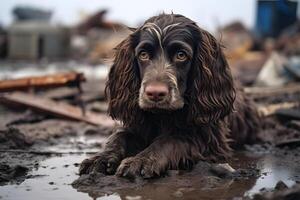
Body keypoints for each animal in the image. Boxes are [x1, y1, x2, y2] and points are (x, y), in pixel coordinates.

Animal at [79, 13, 260, 178]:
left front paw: (141, 160)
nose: (155, 93)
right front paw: (100, 158)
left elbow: (171, 140)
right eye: (143, 54)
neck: (162, 116)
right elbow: (118, 137)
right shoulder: (135, 124)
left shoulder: (208, 137)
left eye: (181, 55)